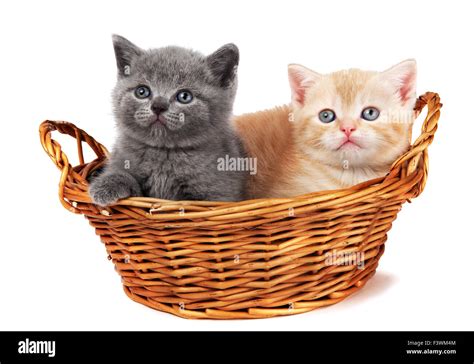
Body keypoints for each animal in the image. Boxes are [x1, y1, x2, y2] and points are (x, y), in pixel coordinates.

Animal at [87, 35, 248, 206]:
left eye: (185, 96)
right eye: (142, 91)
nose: (158, 106)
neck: (164, 152)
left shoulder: (219, 194)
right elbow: (127, 180)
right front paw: (106, 185)